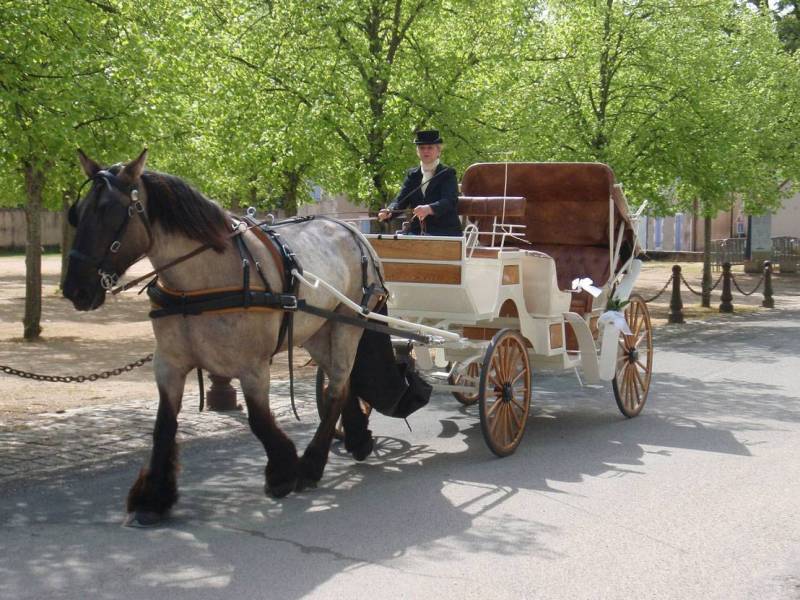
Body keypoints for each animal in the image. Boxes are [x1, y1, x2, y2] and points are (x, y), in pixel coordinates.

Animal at [62, 150, 382, 524]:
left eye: (110, 213)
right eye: (78, 213)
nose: (74, 289)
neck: (200, 283)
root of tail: (352, 230)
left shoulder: (253, 367)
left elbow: (259, 419)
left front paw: (283, 471)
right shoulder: (168, 363)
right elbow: (163, 425)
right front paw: (153, 496)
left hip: (348, 325)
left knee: (337, 389)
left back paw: (312, 464)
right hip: (316, 331)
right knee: (342, 384)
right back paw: (355, 438)